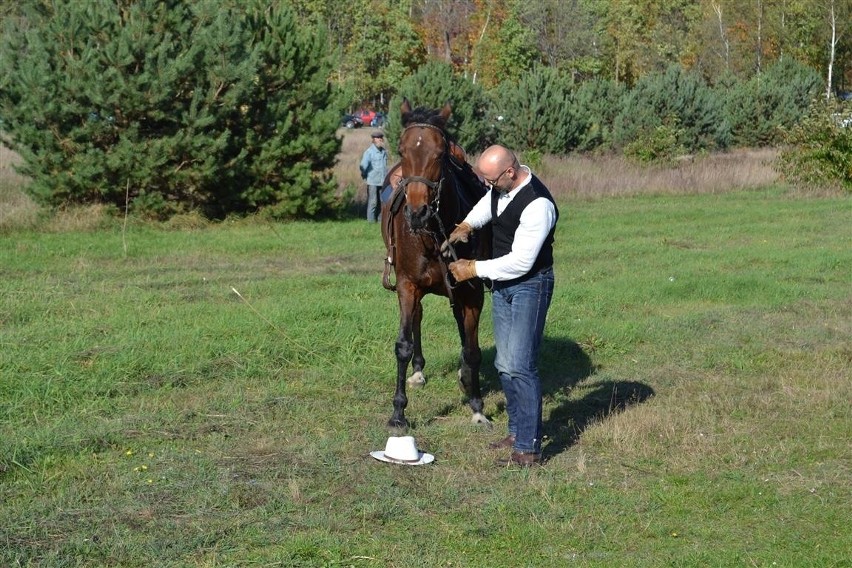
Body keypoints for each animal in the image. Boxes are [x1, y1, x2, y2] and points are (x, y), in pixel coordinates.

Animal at [382, 100, 492, 430]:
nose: (417, 211)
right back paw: (418, 372)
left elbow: (473, 350)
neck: (432, 237)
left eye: (440, 153)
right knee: (418, 317)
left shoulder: (472, 291)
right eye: (402, 150)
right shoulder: (407, 286)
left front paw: (477, 407)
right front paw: (398, 413)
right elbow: (403, 345)